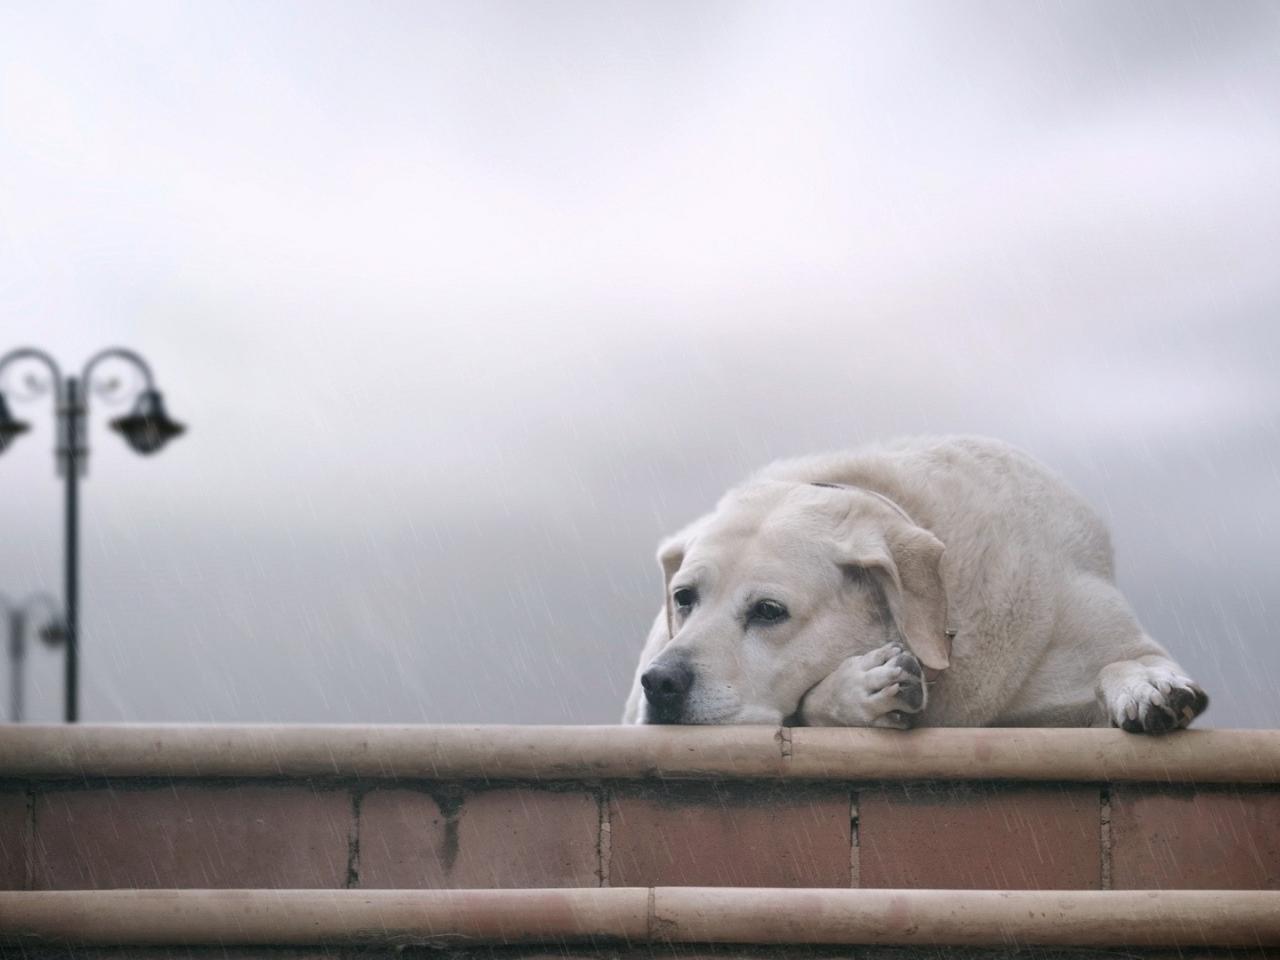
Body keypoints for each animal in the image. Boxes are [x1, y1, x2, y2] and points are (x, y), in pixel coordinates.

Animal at [624, 437, 1203, 737]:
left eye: (769, 611)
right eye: (684, 598)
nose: (662, 683)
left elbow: (1124, 661)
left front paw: (1148, 686)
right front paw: (861, 689)